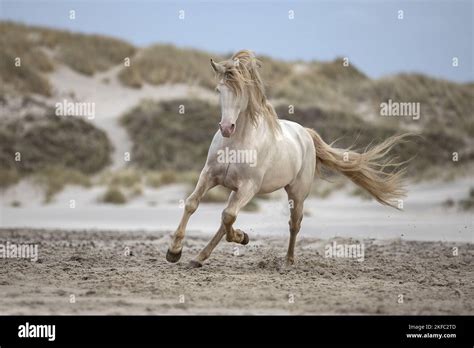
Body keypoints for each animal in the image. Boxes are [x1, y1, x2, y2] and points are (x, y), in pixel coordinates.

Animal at [166, 49, 408, 268]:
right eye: (219, 90)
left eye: (242, 91)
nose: (226, 128)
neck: (236, 144)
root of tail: (305, 133)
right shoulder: (209, 175)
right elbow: (193, 204)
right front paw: (174, 252)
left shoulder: (249, 187)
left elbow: (226, 217)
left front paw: (240, 237)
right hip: (237, 191)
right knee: (228, 217)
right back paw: (199, 257)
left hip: (295, 194)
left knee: (292, 224)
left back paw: (288, 260)